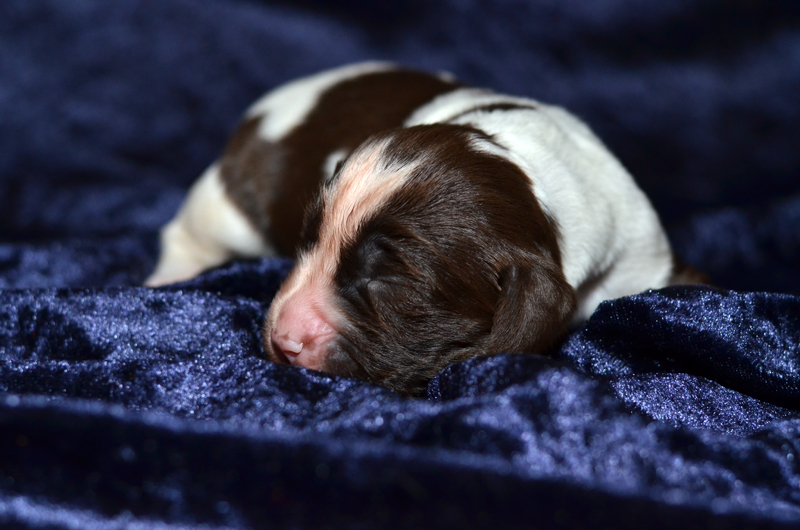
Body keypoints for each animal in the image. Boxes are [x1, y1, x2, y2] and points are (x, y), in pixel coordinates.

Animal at [147, 62, 704, 394]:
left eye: (393, 280)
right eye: (309, 241)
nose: (283, 340)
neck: (537, 179)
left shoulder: (643, 259)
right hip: (227, 206)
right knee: (188, 233)